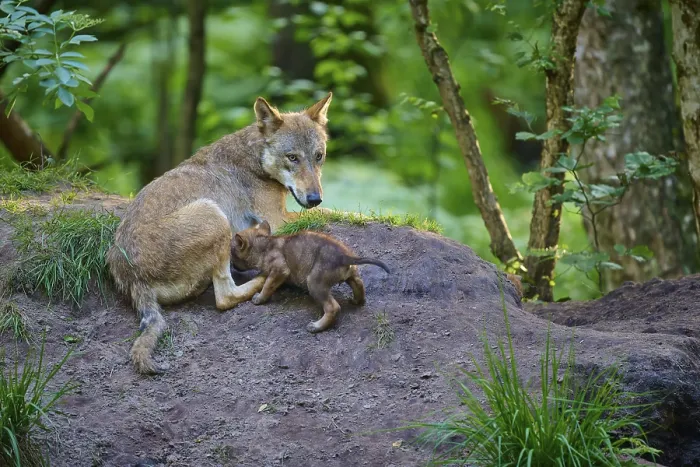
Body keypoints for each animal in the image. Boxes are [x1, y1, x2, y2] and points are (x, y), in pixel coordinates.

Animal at [106, 93, 333, 374]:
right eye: (292, 158)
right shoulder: (278, 220)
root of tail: (130, 276)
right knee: (225, 297)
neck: (255, 158)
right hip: (213, 213)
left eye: (318, 156)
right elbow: (337, 213)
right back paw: (263, 278)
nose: (314, 198)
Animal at [230, 220, 391, 333]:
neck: (264, 244)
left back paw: (316, 326)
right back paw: (356, 301)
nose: (231, 265)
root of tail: (344, 257)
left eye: (232, 253)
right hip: (352, 276)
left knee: (333, 307)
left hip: (314, 284)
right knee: (359, 285)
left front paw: (259, 298)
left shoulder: (280, 270)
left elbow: (267, 285)